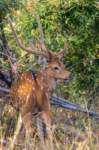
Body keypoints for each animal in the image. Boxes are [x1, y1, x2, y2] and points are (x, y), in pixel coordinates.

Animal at [7, 17, 71, 149]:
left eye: (62, 64)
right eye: (56, 67)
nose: (68, 75)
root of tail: (36, 87)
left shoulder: (22, 110)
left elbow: (17, 131)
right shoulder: (37, 111)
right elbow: (40, 132)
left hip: (26, 109)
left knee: (29, 131)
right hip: (45, 107)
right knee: (49, 128)